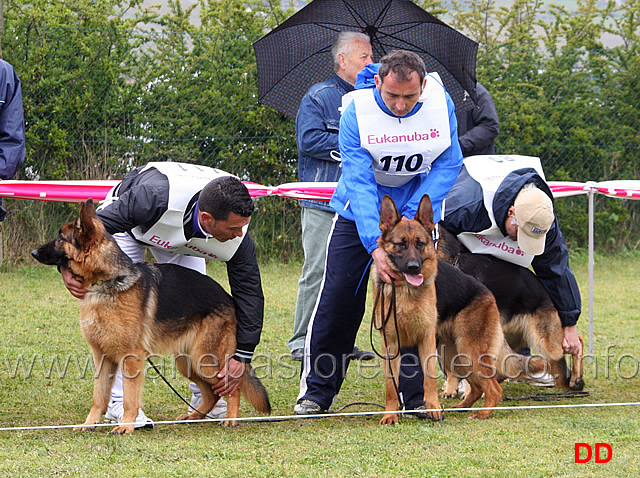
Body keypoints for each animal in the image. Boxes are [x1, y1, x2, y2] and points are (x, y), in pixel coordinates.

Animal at [32, 198, 270, 434]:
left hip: (205, 360)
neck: (105, 282)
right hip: (187, 361)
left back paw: (230, 418)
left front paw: (126, 425)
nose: (33, 253)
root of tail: (230, 299)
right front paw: (89, 424)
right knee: (211, 393)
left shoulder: (131, 357)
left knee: (231, 387)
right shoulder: (102, 357)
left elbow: (130, 397)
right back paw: (194, 416)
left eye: (60, 238)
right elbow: (98, 397)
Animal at [370, 193, 544, 422]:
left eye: (420, 244)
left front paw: (433, 408)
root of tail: (487, 293)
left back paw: (481, 414)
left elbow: (428, 379)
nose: (414, 268)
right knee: (477, 387)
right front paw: (391, 415)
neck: (405, 292)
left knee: (494, 389)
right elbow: (391, 385)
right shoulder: (390, 345)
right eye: (401, 244)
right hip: (454, 355)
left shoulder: (426, 341)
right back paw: (462, 407)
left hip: (469, 351)